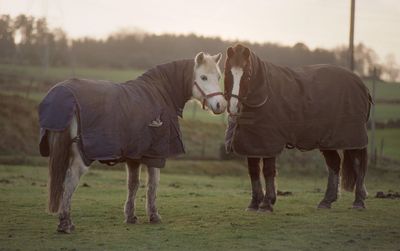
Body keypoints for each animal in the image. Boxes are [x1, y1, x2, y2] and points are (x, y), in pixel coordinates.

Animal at [43, 52, 227, 233]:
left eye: (218, 77)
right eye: (203, 77)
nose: (221, 105)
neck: (160, 93)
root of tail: (64, 94)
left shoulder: (134, 156)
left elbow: (133, 184)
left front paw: (130, 216)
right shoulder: (155, 154)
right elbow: (152, 185)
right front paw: (154, 216)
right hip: (82, 155)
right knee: (70, 181)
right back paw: (65, 223)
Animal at [223, 44, 370, 212]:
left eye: (247, 76)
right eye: (227, 73)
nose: (234, 107)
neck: (264, 91)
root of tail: (361, 85)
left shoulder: (269, 142)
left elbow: (268, 170)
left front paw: (267, 203)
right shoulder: (253, 141)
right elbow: (253, 170)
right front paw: (254, 203)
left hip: (351, 137)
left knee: (357, 163)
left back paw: (358, 201)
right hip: (327, 139)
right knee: (334, 164)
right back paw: (326, 201)